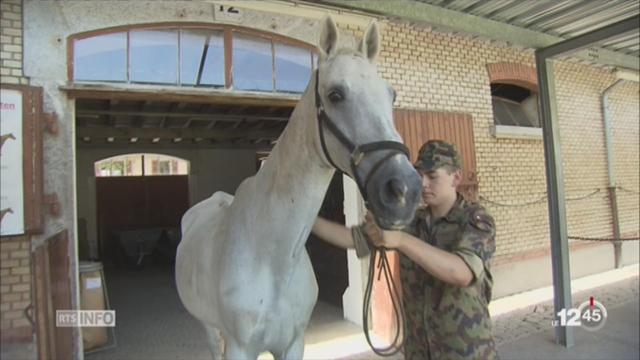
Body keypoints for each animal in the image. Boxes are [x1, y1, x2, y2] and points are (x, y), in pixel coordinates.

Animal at [175, 17, 422, 360]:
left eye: (392, 95)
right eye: (335, 94)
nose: (404, 190)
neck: (271, 258)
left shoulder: (293, 343)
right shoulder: (239, 348)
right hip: (209, 328)